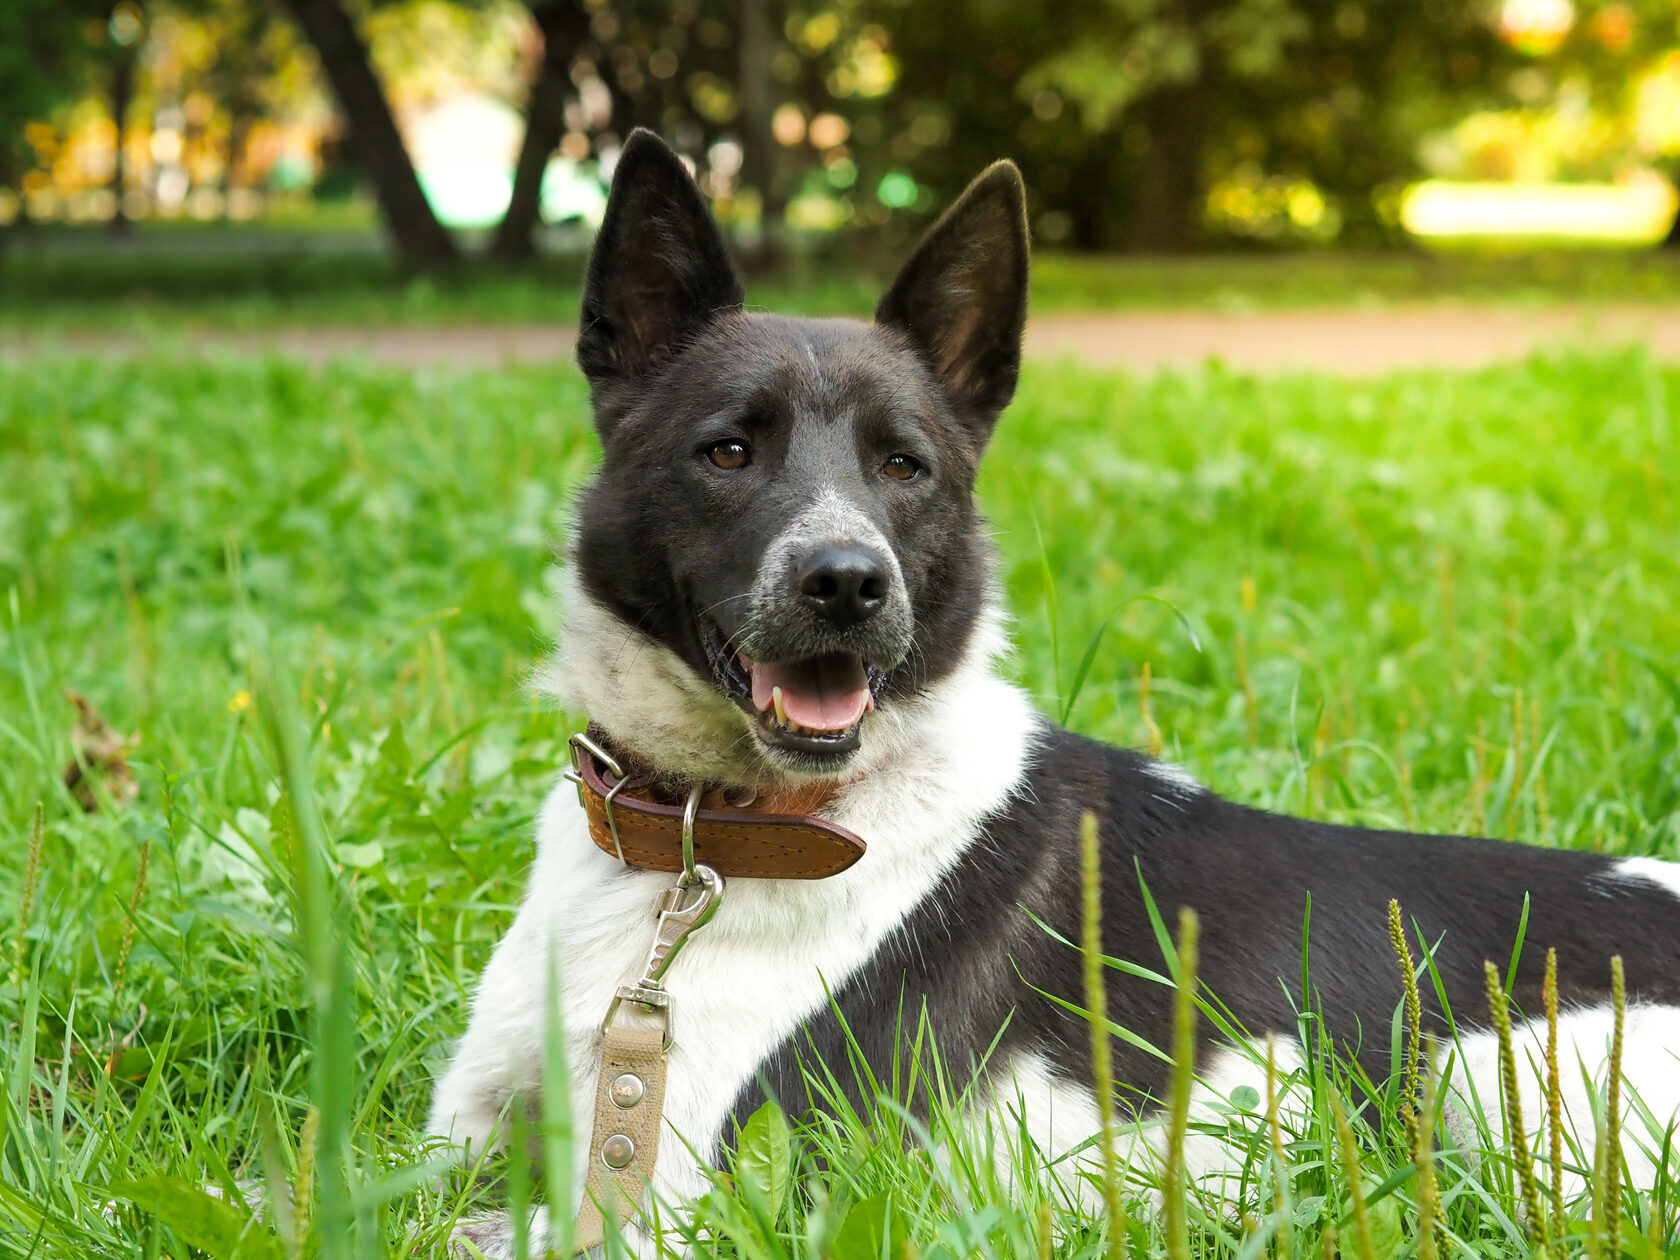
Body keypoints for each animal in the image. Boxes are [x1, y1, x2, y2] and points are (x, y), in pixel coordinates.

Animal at [426, 128, 1680, 1256]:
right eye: (729, 451)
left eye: (905, 466)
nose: (849, 583)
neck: (708, 839)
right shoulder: (455, 1140)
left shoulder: (687, 1201)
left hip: (1493, 1082)